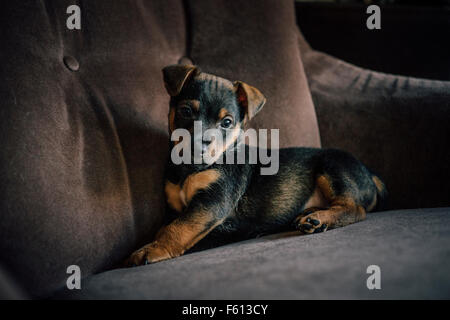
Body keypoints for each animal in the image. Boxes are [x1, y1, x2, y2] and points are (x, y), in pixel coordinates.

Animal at [125, 64, 384, 264]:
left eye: (227, 122)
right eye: (186, 111)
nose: (200, 145)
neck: (190, 168)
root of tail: (371, 176)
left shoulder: (212, 201)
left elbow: (179, 227)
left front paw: (153, 249)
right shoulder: (176, 208)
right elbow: (168, 225)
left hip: (333, 167)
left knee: (355, 208)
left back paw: (319, 219)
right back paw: (310, 213)